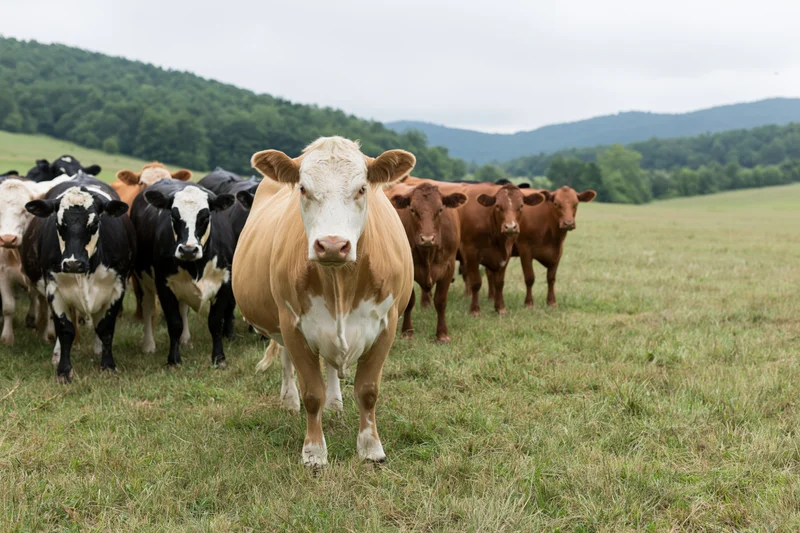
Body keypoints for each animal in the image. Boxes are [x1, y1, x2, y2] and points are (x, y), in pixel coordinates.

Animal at [0, 175, 76, 345]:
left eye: (24, 210)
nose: (8, 239)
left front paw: (50, 335)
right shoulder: (3, 273)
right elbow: (8, 306)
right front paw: (7, 338)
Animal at [21, 172, 134, 382]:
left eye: (95, 223)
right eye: (58, 224)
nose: (73, 263)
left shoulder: (117, 288)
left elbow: (106, 328)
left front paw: (107, 365)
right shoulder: (54, 289)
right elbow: (65, 330)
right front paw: (63, 370)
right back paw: (57, 355)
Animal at [130, 180, 235, 368]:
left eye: (205, 217)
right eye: (173, 216)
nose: (188, 250)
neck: (196, 266)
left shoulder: (224, 283)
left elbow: (215, 322)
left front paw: (219, 358)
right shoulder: (164, 285)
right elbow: (174, 323)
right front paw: (173, 360)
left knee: (183, 307)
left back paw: (185, 340)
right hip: (143, 280)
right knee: (148, 308)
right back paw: (149, 345)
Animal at [233, 136, 415, 468]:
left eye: (362, 188)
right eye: (303, 188)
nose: (332, 245)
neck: (340, 285)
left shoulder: (387, 325)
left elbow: (368, 390)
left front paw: (370, 447)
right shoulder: (293, 324)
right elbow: (311, 393)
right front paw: (314, 451)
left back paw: (335, 403)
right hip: (282, 322)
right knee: (286, 361)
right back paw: (289, 400)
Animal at [388, 182, 466, 342]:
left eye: (441, 209)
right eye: (412, 210)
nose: (427, 238)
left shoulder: (448, 268)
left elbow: (440, 301)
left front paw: (442, 334)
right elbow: (410, 301)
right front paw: (407, 331)